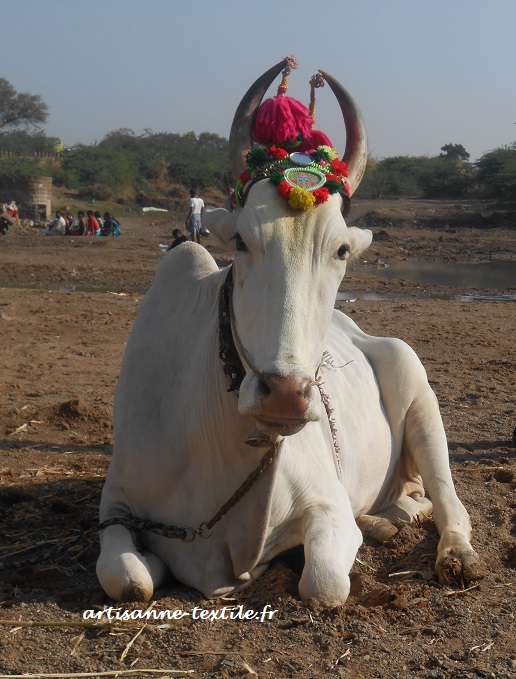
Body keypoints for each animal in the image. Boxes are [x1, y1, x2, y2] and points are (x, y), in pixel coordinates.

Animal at [97, 63, 484, 604]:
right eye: (240, 240)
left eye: (341, 250)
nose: (285, 394)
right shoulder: (115, 503)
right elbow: (131, 580)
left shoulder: (326, 505)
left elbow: (324, 584)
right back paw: (386, 522)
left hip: (422, 399)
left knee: (447, 499)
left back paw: (456, 554)